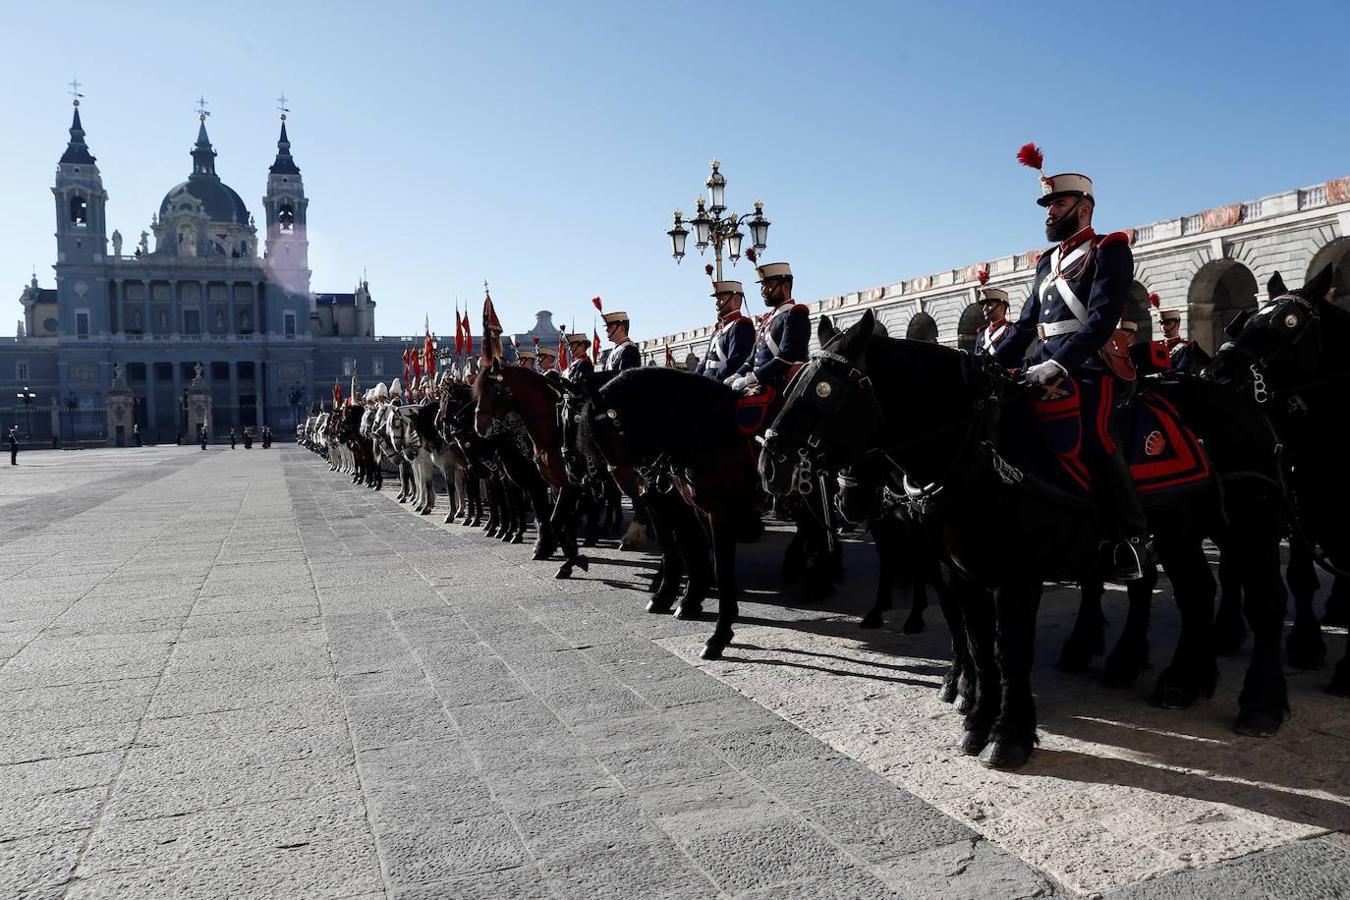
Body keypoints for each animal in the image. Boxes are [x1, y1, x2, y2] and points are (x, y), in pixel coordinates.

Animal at [766, 313, 1290, 771]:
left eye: (824, 390)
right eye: (790, 387)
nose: (773, 464)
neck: (983, 448)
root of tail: (1242, 401)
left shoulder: (1015, 576)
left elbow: (1009, 648)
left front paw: (1008, 735)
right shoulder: (959, 571)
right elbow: (976, 642)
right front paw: (976, 715)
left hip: (1250, 525)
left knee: (1264, 602)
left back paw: (1259, 705)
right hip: (1181, 535)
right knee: (1197, 593)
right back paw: (1183, 680)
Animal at [1215, 267, 1350, 696]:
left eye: (1290, 322)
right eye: (1245, 322)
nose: (1216, 374)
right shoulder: (1298, 508)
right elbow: (1300, 577)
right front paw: (1306, 643)